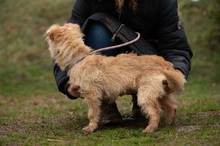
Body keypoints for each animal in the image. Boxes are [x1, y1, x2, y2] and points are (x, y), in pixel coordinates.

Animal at [45, 23, 186, 133]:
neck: (79, 58)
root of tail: (165, 64)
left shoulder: (91, 95)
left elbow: (92, 113)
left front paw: (91, 128)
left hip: (146, 94)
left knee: (155, 111)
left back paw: (150, 128)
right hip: (161, 93)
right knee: (172, 106)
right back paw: (169, 122)